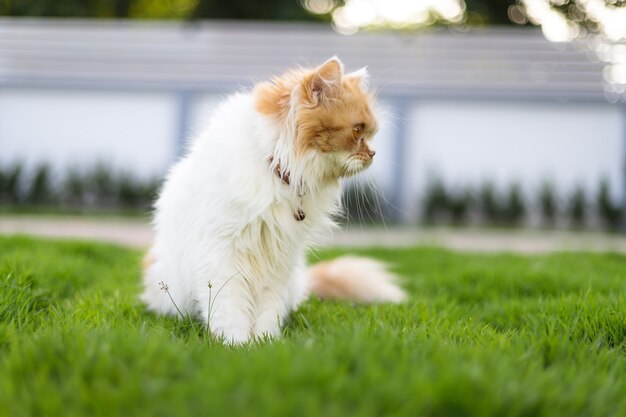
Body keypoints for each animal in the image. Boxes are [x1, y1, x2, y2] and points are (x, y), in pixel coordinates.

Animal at [141, 58, 404, 344]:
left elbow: (267, 311)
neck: (278, 171)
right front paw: (235, 344)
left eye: (371, 134)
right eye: (357, 131)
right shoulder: (222, 254)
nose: (373, 154)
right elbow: (230, 308)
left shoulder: (278, 261)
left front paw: (265, 342)